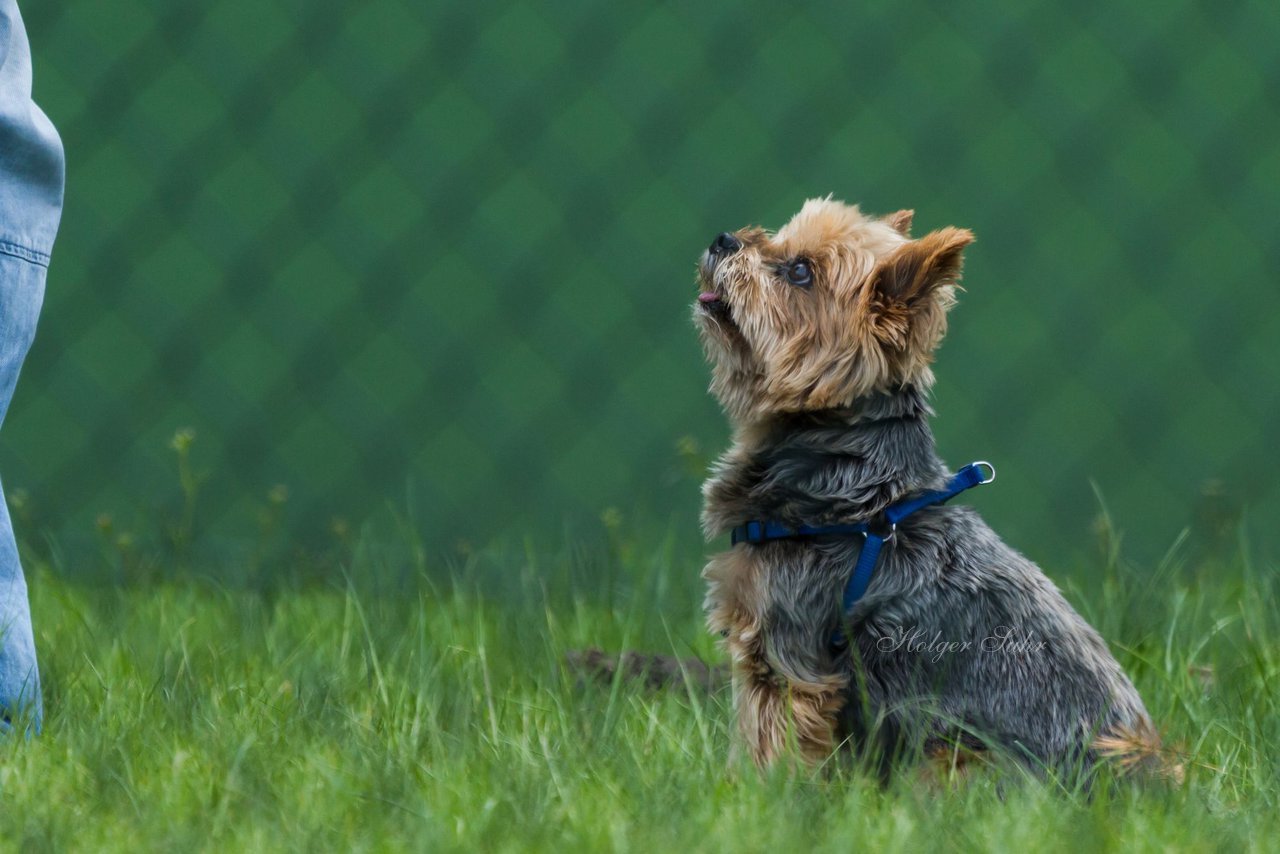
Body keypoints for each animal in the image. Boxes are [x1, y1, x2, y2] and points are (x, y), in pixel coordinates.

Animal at [696, 195, 1167, 783]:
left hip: (957, 757)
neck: (852, 476)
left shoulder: (786, 653)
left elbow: (767, 743)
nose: (723, 239)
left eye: (800, 271)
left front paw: (756, 794)